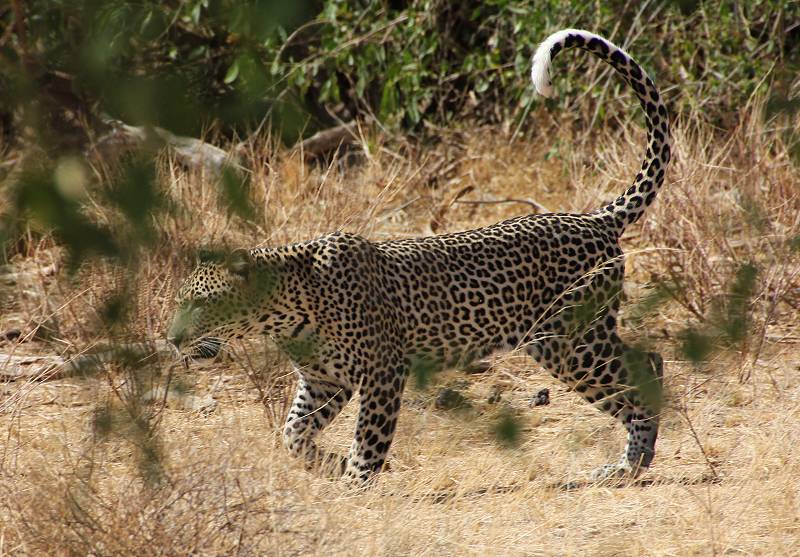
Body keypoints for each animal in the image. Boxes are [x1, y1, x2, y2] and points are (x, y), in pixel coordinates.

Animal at [167, 28, 668, 484]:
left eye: (202, 303)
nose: (171, 340)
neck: (283, 313)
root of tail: (596, 219)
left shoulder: (382, 371)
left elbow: (369, 439)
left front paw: (354, 485)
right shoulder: (324, 381)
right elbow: (292, 433)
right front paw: (327, 465)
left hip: (570, 340)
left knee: (648, 364)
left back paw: (631, 463)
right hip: (566, 339)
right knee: (645, 366)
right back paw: (629, 462)